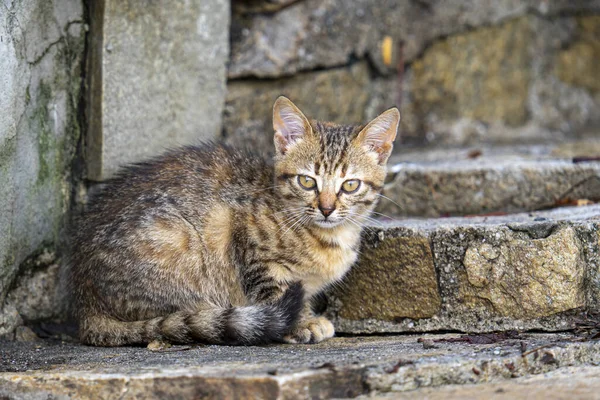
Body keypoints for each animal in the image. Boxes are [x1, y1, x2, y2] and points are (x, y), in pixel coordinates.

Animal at [69, 95, 398, 346]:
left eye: (350, 185)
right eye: (307, 181)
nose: (326, 208)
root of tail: (85, 303)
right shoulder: (251, 246)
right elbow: (278, 292)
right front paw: (302, 323)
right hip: (177, 242)